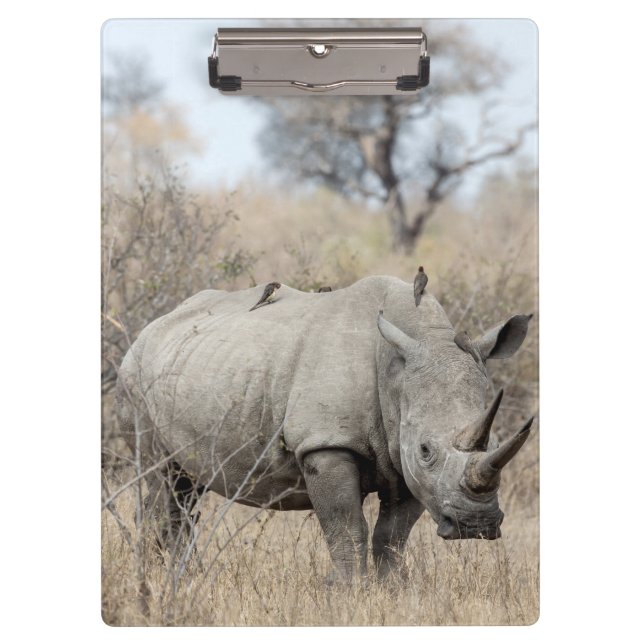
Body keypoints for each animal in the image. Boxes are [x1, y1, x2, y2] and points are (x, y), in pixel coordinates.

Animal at [116, 276, 534, 581]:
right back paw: (162, 582)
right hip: (135, 378)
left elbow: (392, 538)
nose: (474, 524)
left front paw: (393, 594)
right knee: (163, 483)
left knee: (187, 490)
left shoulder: (403, 459)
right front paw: (352, 594)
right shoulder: (326, 444)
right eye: (426, 450)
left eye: (496, 441)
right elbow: (347, 530)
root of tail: (151, 327)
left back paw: (180, 580)